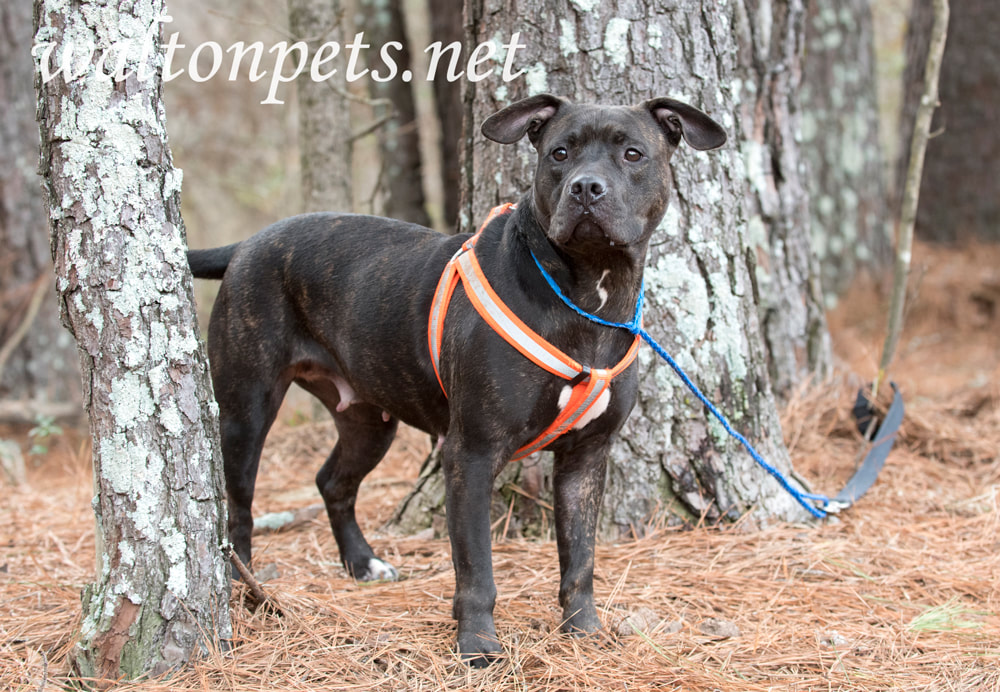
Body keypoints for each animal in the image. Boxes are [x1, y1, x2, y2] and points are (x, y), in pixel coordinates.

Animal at [189, 93, 728, 664]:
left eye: (632, 154)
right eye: (559, 153)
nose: (586, 187)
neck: (585, 295)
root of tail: (247, 243)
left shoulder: (585, 459)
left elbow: (580, 557)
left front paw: (583, 630)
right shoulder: (472, 454)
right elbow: (477, 568)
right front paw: (478, 645)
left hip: (369, 420)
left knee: (333, 481)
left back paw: (363, 564)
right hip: (246, 409)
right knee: (237, 506)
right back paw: (245, 589)